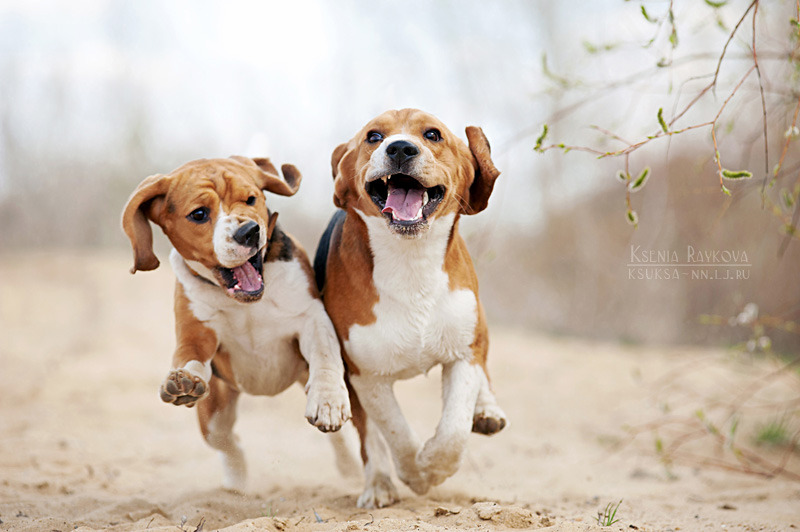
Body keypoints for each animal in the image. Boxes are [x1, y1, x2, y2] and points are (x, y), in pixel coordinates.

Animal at [121, 156, 350, 492]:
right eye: (199, 214)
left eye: (251, 199)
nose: (249, 232)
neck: (247, 301)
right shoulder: (196, 334)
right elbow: (190, 357)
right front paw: (185, 380)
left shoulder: (311, 318)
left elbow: (324, 356)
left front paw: (328, 399)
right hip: (214, 415)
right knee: (229, 443)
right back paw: (236, 485)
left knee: (343, 441)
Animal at [312, 107, 506, 508]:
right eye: (373, 137)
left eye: (432, 135)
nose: (400, 148)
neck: (410, 259)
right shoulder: (365, 374)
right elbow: (394, 432)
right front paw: (417, 474)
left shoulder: (463, 355)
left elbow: (453, 431)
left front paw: (433, 464)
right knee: (370, 440)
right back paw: (379, 484)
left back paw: (487, 408)